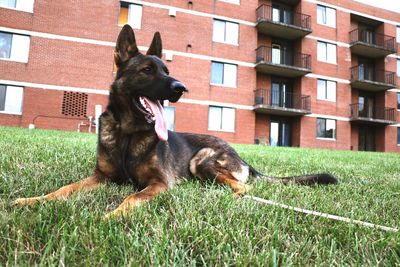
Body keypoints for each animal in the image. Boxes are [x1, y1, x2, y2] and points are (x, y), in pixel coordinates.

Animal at [13, 24, 338, 219]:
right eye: (147, 70)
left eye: (167, 71)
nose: (182, 88)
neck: (128, 134)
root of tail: (242, 157)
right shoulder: (99, 178)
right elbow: (62, 190)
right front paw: (33, 200)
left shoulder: (158, 184)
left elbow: (131, 199)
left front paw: (110, 216)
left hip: (203, 160)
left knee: (243, 188)